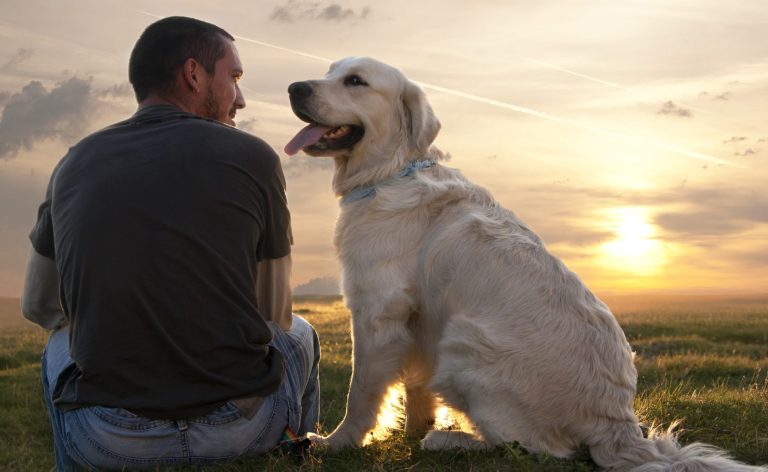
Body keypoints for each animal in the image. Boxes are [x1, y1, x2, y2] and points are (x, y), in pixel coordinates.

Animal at [284, 58, 764, 472]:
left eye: (356, 81)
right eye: (330, 70)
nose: (294, 87)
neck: (390, 173)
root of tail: (617, 424)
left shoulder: (376, 311)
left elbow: (362, 391)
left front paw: (338, 442)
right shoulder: (418, 320)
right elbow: (416, 389)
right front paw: (411, 431)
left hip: (464, 341)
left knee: (534, 447)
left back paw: (451, 440)